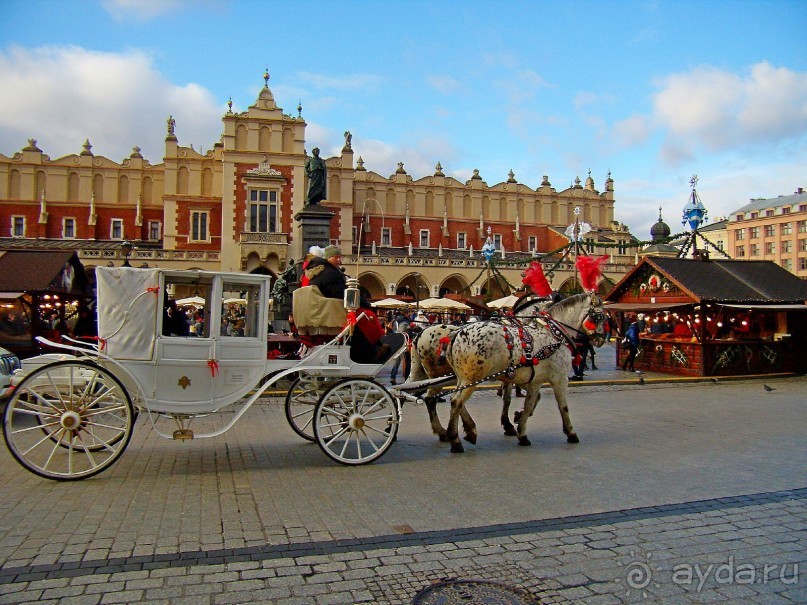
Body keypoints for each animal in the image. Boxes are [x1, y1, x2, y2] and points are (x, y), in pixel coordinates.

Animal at [408, 292, 604, 452]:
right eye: (601, 316)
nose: (600, 339)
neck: (553, 333)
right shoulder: (559, 378)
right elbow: (561, 406)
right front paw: (570, 433)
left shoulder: (527, 379)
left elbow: (524, 402)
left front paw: (517, 424)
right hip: (462, 377)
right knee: (449, 401)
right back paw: (454, 438)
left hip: (451, 376)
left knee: (441, 399)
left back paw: (459, 431)